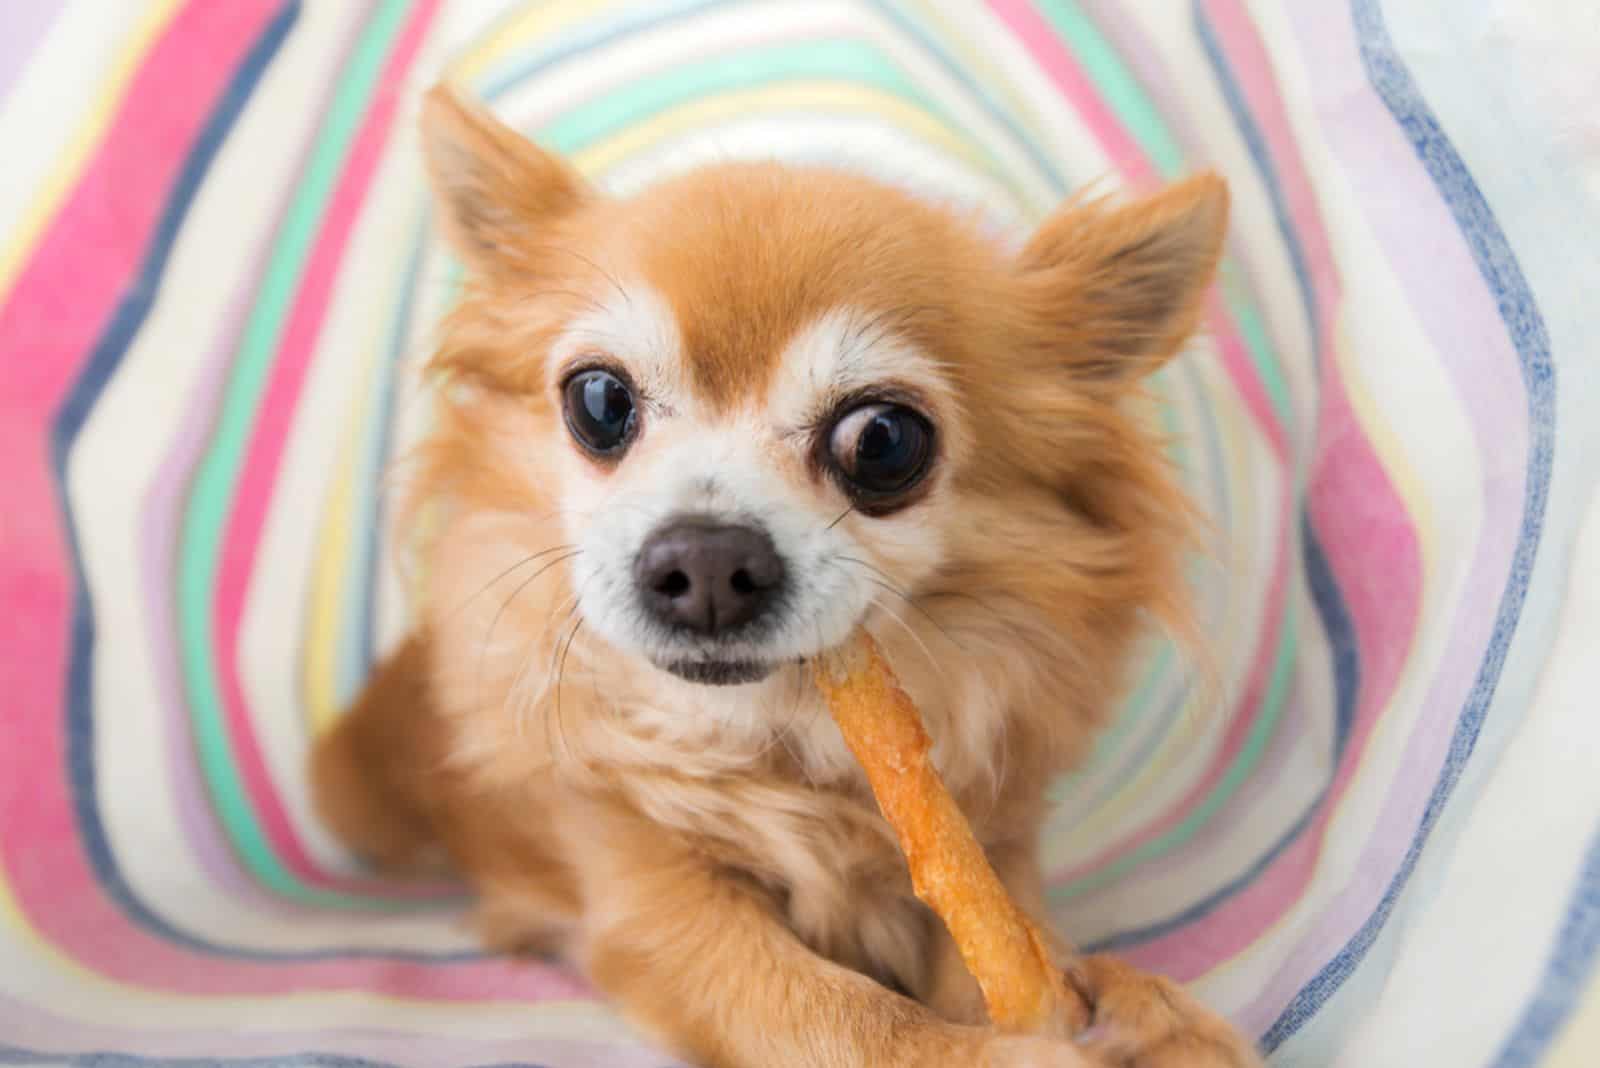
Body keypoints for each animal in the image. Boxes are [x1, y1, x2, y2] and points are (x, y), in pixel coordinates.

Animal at [312, 85, 1260, 1068]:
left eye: (883, 441)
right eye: (599, 402)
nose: (705, 559)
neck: (779, 739)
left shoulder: (989, 851)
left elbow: (1015, 940)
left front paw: (1137, 1008)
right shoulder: (657, 901)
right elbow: (838, 1014)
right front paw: (1004, 1053)